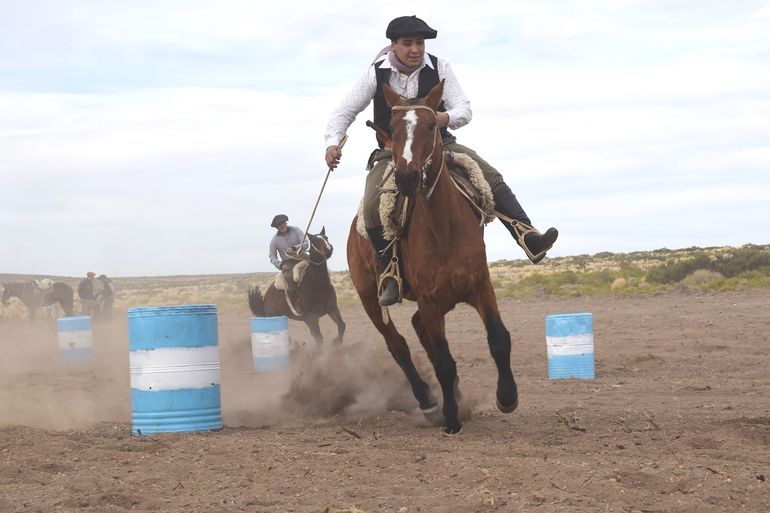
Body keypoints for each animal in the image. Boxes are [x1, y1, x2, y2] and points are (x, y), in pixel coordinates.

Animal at [346, 82, 516, 434]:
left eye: (430, 126)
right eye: (393, 127)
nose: (407, 177)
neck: (444, 229)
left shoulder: (480, 287)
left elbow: (498, 339)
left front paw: (507, 397)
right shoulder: (429, 301)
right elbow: (443, 362)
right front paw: (450, 418)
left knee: (416, 329)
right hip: (370, 298)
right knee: (397, 344)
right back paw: (427, 400)